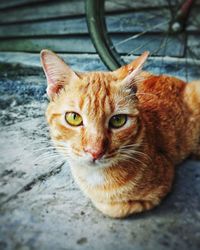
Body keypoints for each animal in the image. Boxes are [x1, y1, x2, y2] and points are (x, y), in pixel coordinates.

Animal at [40, 49, 200, 218]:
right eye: (74, 118)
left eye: (118, 120)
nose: (95, 152)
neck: (95, 176)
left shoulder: (164, 182)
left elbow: (115, 208)